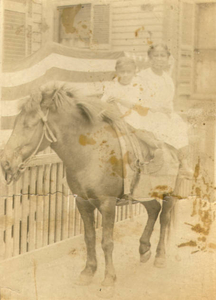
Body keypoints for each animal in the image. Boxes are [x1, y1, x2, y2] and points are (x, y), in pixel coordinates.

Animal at [0, 83, 178, 294]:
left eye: (29, 124)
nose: (6, 162)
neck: (89, 155)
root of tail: (172, 149)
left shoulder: (107, 204)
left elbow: (107, 242)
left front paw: (109, 278)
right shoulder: (82, 202)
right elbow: (90, 238)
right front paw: (88, 272)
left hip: (168, 194)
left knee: (164, 218)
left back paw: (160, 257)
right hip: (142, 194)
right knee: (153, 210)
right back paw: (143, 249)